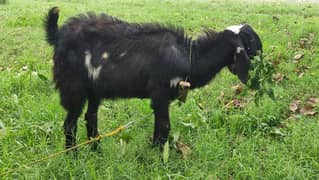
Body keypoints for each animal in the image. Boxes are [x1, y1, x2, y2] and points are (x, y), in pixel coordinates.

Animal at [44, 7, 262, 150]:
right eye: (252, 42)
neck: (189, 56)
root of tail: (58, 34)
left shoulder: (161, 98)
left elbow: (160, 126)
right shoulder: (160, 92)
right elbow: (164, 126)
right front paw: (157, 157)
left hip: (94, 89)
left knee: (91, 118)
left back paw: (97, 152)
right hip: (73, 87)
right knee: (70, 124)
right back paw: (73, 156)